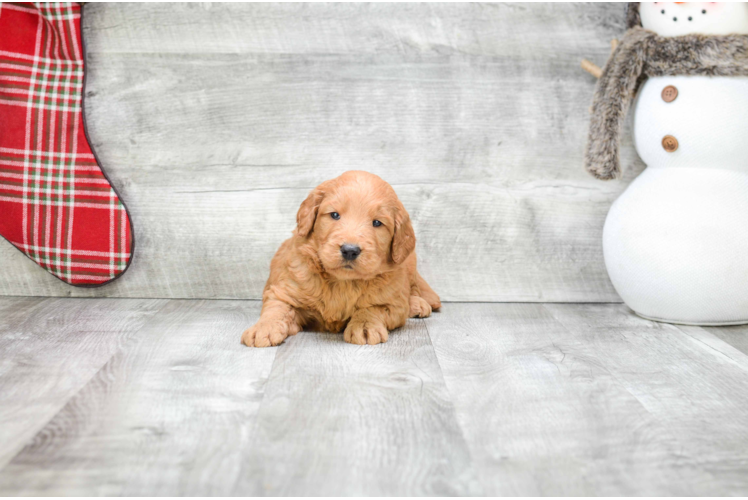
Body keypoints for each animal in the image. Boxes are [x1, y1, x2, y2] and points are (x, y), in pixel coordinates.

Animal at [241, 170, 438, 346]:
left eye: (377, 223)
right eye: (334, 215)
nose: (350, 250)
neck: (343, 283)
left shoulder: (393, 304)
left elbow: (373, 308)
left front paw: (364, 326)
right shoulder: (284, 292)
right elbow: (277, 309)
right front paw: (264, 328)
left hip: (410, 262)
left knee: (412, 288)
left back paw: (417, 304)